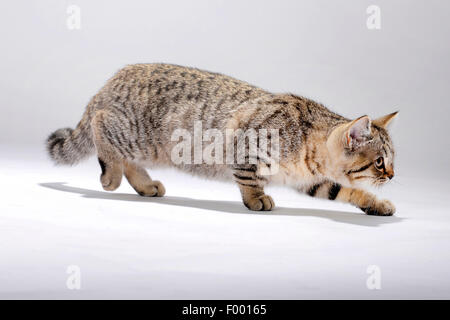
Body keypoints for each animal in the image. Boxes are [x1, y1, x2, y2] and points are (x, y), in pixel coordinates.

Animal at [46, 63, 398, 215]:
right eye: (380, 162)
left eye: (391, 162)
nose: (393, 176)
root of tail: (113, 79)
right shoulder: (245, 144)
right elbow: (249, 180)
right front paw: (257, 199)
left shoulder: (310, 180)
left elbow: (346, 191)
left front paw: (377, 203)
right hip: (135, 134)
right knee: (99, 125)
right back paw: (110, 176)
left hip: (148, 148)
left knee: (130, 160)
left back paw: (146, 185)